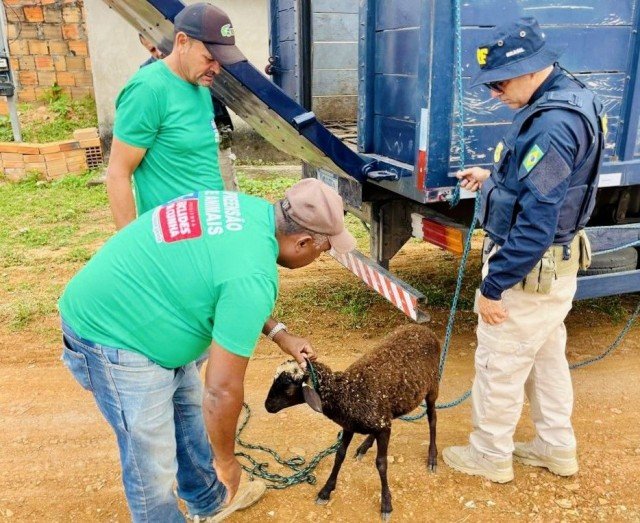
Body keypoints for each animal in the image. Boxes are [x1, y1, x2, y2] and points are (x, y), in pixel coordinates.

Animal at [264, 324, 441, 521]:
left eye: (288, 388)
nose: (267, 406)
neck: (347, 392)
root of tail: (422, 328)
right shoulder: (349, 426)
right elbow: (339, 455)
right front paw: (326, 491)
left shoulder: (381, 428)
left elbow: (381, 463)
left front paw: (386, 504)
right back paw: (365, 446)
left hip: (432, 386)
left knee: (432, 418)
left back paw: (432, 457)